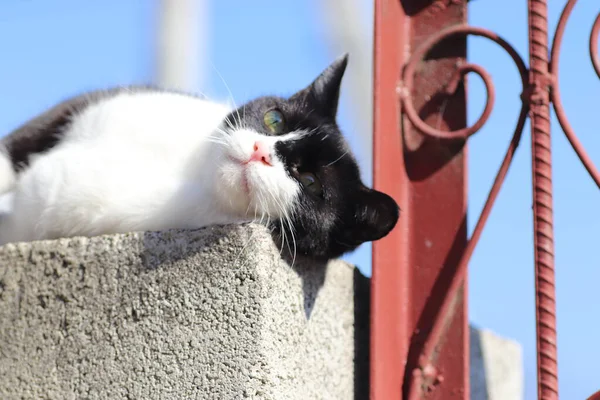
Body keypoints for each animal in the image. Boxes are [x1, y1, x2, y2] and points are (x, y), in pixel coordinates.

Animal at [0, 55, 398, 260]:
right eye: (275, 119)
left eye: (311, 182)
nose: (260, 152)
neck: (189, 175)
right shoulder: (88, 107)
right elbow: (19, 142)